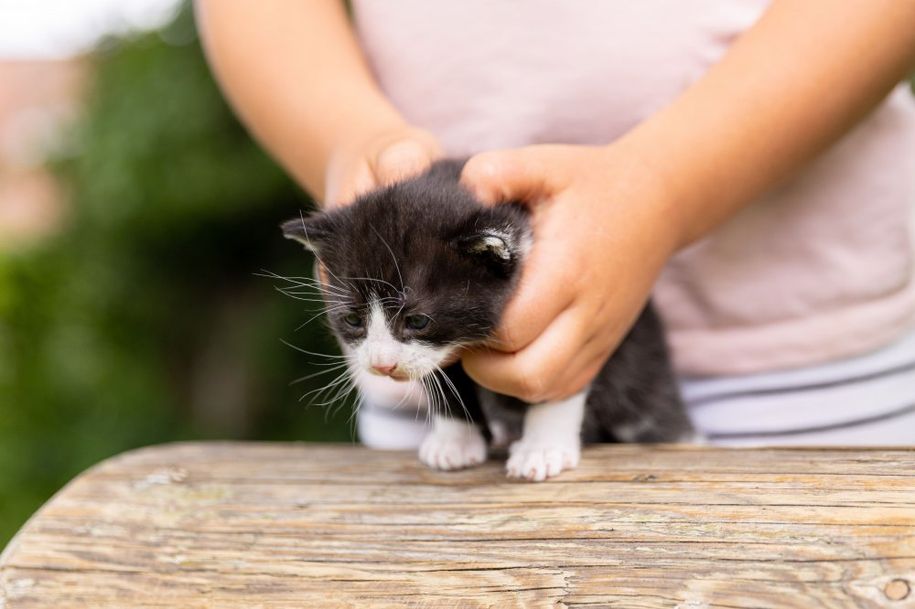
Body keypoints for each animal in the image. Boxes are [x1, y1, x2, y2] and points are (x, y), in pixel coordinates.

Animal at [280, 160, 696, 480]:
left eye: (418, 321)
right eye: (353, 319)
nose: (383, 365)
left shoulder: (581, 332)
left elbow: (559, 378)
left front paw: (541, 450)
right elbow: (446, 384)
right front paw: (454, 442)